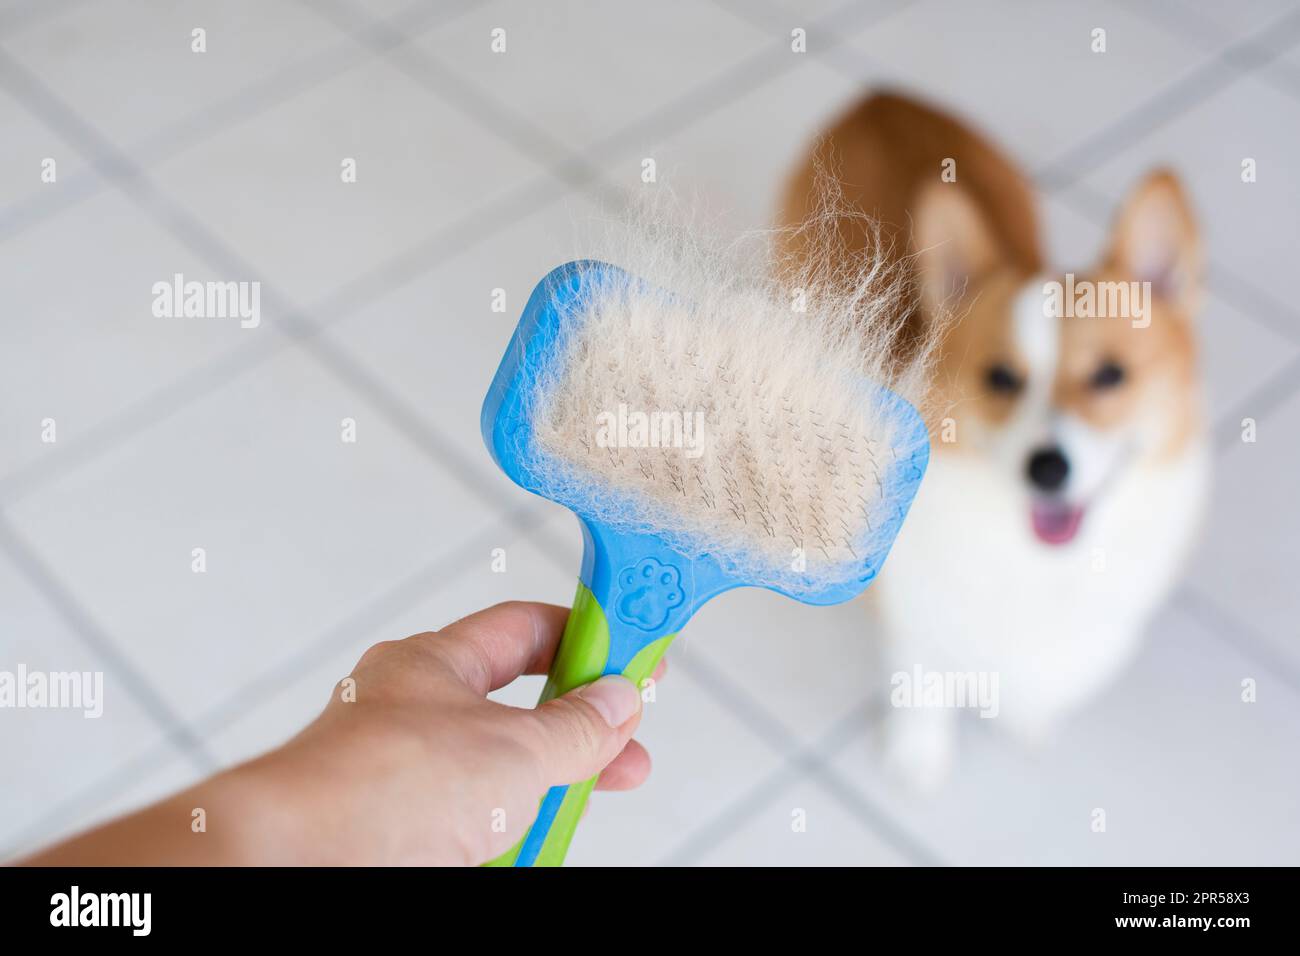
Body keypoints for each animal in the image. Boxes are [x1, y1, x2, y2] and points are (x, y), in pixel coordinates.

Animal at [769, 93, 1206, 790]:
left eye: (1111, 375)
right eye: (1000, 378)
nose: (1047, 468)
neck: (1031, 562)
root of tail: (877, 98)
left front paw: (1026, 720)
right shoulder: (916, 610)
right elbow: (923, 686)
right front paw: (920, 759)